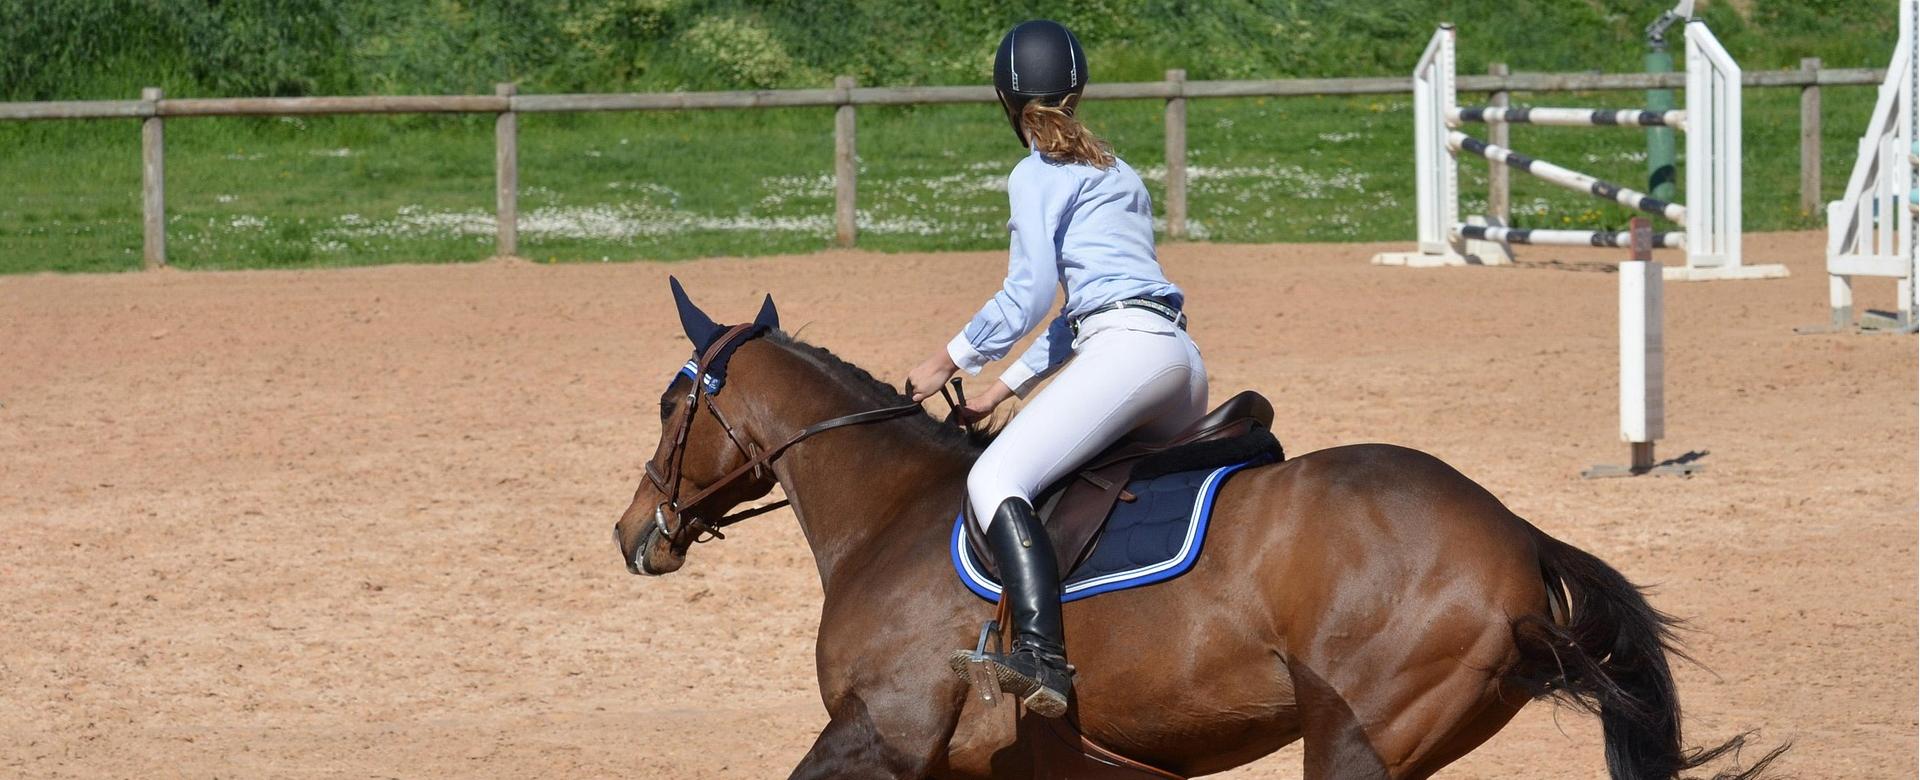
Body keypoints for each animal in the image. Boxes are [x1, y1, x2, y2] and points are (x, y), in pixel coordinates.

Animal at [612, 281, 1782, 779]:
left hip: (1358, 735)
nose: (634, 532)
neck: (888, 511)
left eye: (672, 405)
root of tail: (1514, 533)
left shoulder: (882, 731)